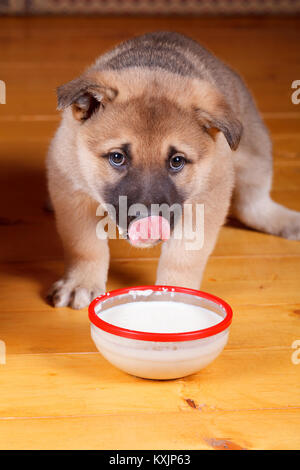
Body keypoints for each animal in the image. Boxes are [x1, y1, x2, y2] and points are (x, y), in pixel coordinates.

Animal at [46, 32, 300, 308]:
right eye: (117, 158)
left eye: (176, 161)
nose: (148, 222)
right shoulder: (72, 188)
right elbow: (85, 245)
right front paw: (81, 282)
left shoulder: (206, 199)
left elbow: (183, 259)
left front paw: (176, 300)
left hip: (254, 154)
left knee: (253, 204)